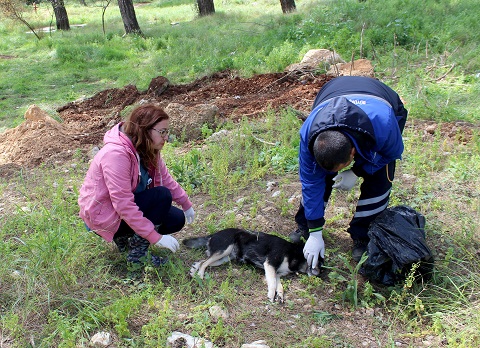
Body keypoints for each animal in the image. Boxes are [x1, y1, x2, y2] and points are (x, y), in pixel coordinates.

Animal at [183, 228, 322, 302]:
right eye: (319, 262)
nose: (320, 273)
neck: (293, 253)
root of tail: (213, 234)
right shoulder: (270, 264)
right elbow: (272, 283)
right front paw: (271, 295)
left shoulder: (277, 273)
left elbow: (279, 286)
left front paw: (280, 296)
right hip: (224, 250)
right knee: (205, 262)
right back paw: (200, 274)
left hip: (224, 258)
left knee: (203, 261)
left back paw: (194, 270)